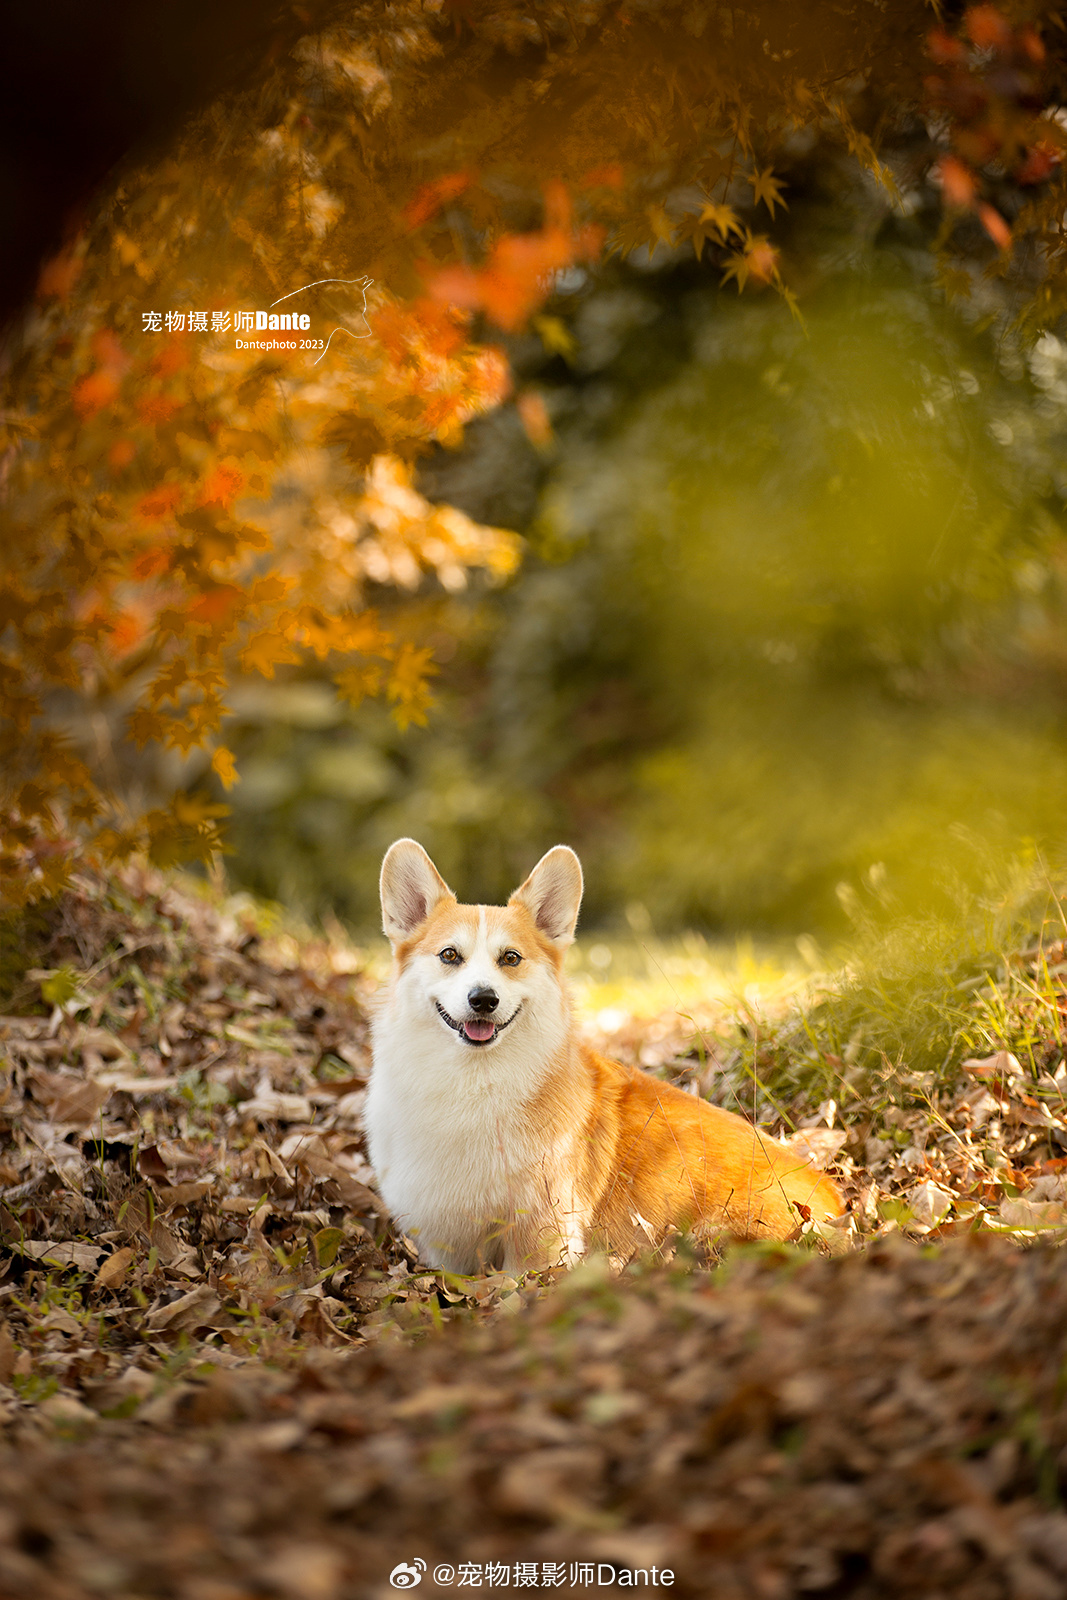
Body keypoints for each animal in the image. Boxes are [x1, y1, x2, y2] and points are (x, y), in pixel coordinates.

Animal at [367, 838, 844, 1273]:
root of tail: (838, 1206)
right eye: (450, 955)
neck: (472, 1082)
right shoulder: (444, 1245)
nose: (483, 999)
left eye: (511, 958)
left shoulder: (541, 1240)